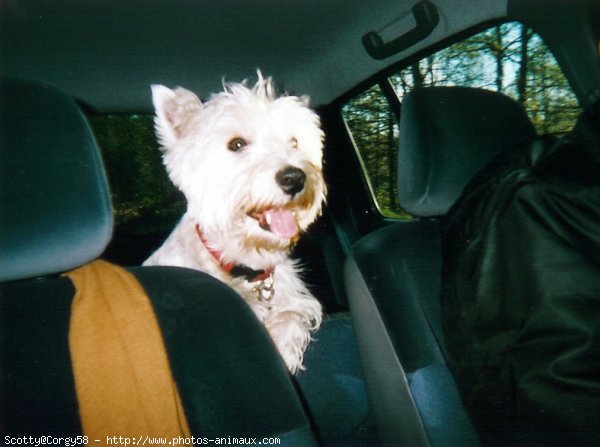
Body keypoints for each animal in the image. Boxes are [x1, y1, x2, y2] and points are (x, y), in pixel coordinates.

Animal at [143, 72, 326, 374]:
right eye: (237, 144)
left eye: (294, 142)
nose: (295, 178)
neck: (245, 263)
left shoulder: (290, 297)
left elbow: (291, 315)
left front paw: (283, 351)